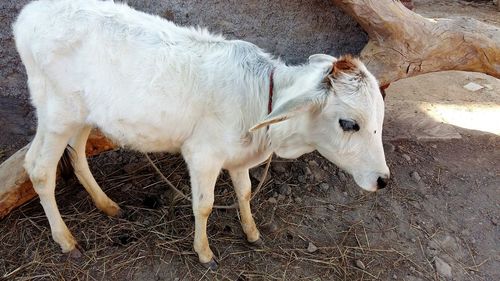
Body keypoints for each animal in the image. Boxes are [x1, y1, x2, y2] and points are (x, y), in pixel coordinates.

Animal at [12, 0, 390, 266]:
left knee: (74, 154)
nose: (383, 179)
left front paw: (252, 232)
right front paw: (204, 252)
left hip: (82, 115)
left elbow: (245, 193)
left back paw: (107, 205)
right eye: (348, 123)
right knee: (39, 168)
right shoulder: (203, 155)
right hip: (57, 112)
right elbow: (204, 205)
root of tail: (27, 15)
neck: (259, 97)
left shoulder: (238, 158)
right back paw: (66, 239)